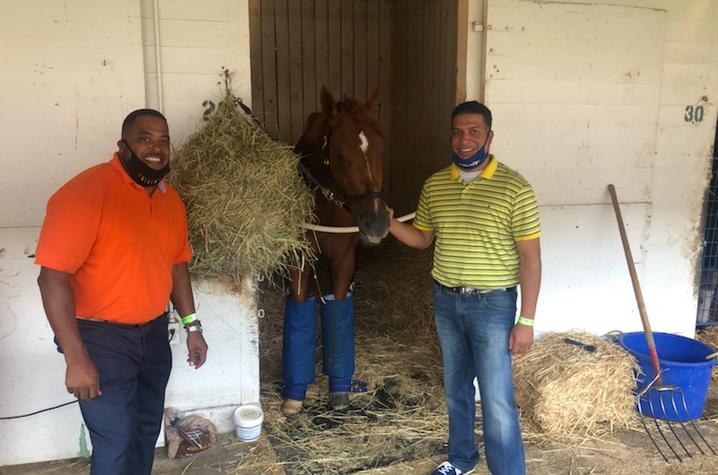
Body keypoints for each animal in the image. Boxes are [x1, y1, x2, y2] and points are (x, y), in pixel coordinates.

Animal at [282, 87, 394, 414]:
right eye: (341, 155)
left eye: (381, 148)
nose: (377, 224)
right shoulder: (300, 262)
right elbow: (300, 307)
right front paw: (295, 394)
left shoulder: (344, 261)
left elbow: (338, 310)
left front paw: (339, 389)